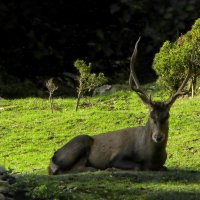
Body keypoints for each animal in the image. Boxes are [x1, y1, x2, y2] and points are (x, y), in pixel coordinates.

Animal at [47, 37, 191, 175]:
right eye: (151, 115)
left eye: (167, 116)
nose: (158, 137)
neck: (151, 159)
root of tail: (55, 155)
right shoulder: (116, 157)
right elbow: (137, 166)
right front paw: (112, 168)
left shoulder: (162, 165)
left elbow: (164, 168)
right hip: (79, 143)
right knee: (58, 169)